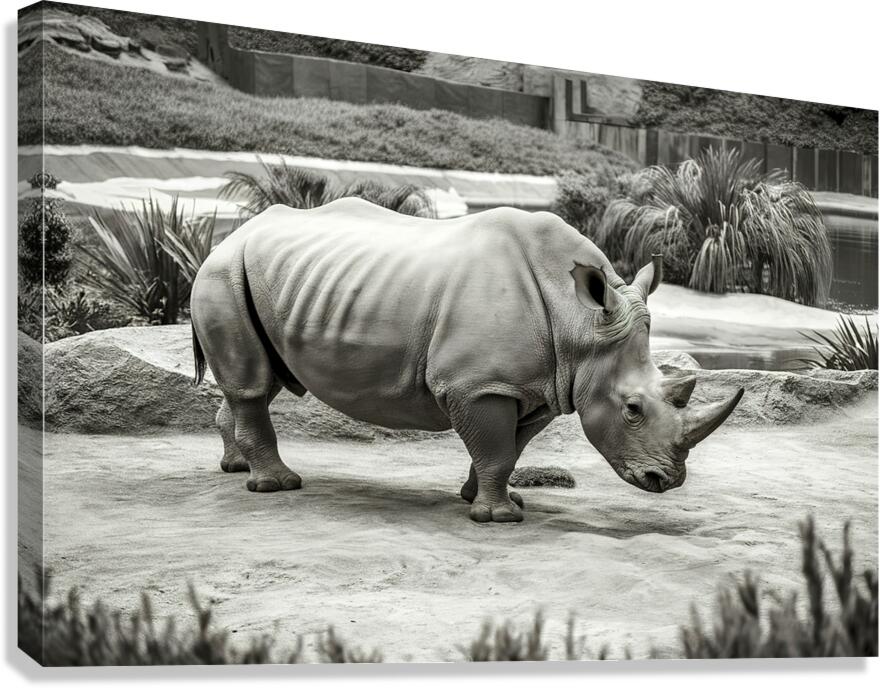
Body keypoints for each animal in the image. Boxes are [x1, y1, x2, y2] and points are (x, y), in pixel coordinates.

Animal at [191, 199, 743, 523]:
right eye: (632, 409)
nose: (666, 482)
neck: (581, 325)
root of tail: (232, 233)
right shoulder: (479, 384)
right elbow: (496, 448)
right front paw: (498, 518)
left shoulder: (540, 385)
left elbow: (510, 449)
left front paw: (486, 499)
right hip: (222, 273)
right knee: (252, 386)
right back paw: (276, 486)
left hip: (266, 278)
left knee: (261, 379)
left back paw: (234, 467)